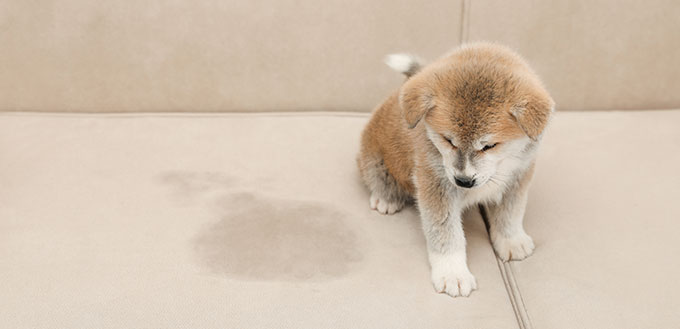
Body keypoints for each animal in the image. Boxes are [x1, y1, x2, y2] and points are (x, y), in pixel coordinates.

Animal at [356, 42, 552, 296]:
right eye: (448, 140)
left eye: (489, 145)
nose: (464, 181)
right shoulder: (436, 186)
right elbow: (446, 234)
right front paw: (452, 272)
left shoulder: (518, 176)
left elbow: (510, 213)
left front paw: (511, 240)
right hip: (373, 161)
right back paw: (386, 197)